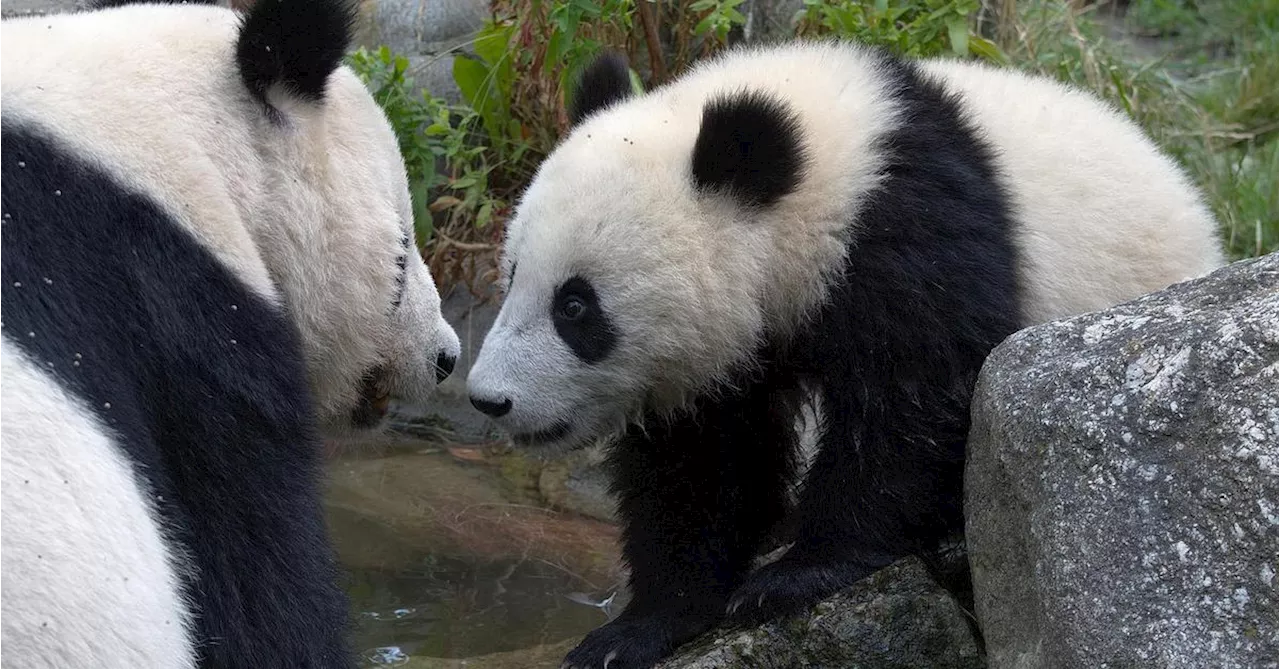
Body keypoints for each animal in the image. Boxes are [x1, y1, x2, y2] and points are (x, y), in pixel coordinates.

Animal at [465, 43, 1223, 669]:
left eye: (575, 306)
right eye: (512, 274)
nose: (489, 399)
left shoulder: (909, 229)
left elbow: (915, 397)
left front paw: (794, 576)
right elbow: (701, 460)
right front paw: (639, 626)